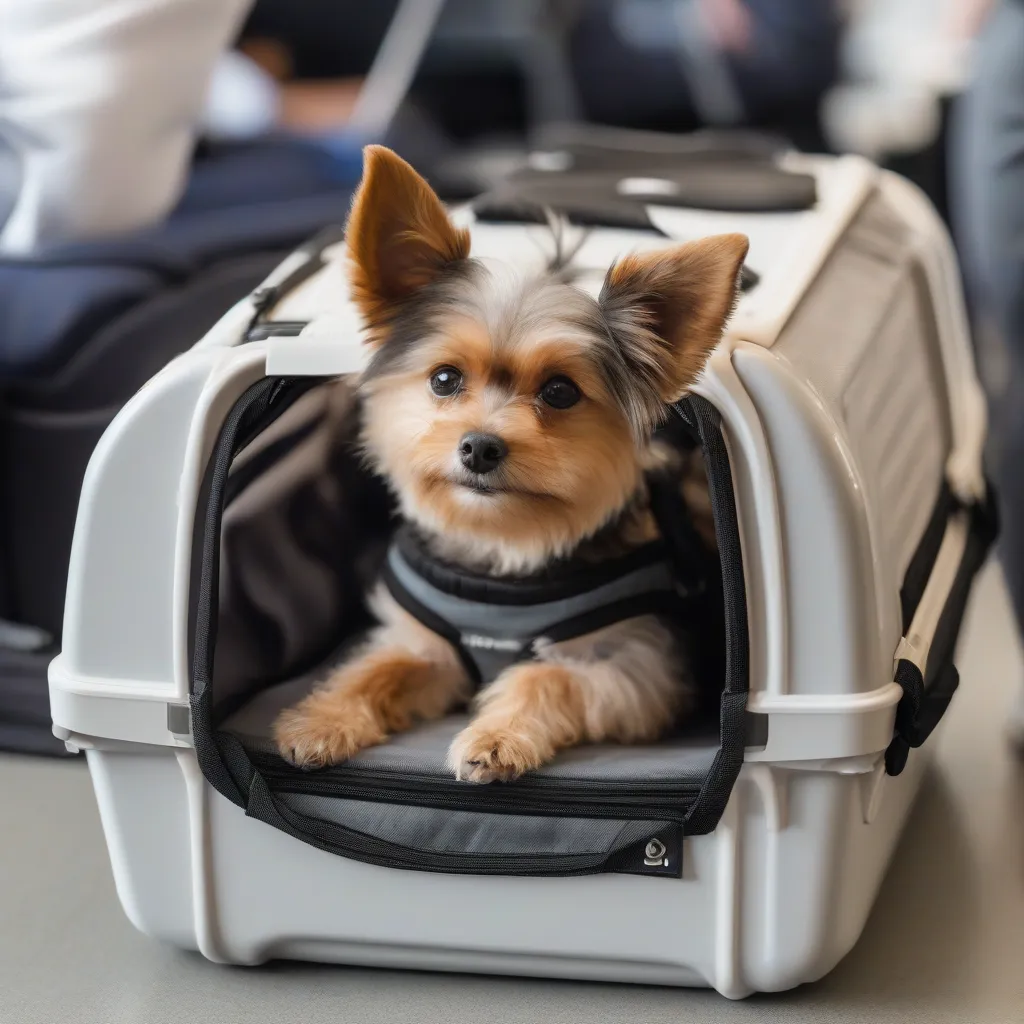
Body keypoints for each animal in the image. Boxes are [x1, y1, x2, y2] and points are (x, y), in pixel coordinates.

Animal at [274, 144, 745, 778]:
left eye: (560, 392)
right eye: (444, 379)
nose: (480, 446)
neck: (502, 546)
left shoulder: (638, 668)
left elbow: (544, 677)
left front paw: (496, 738)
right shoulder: (431, 650)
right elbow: (379, 669)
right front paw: (321, 720)